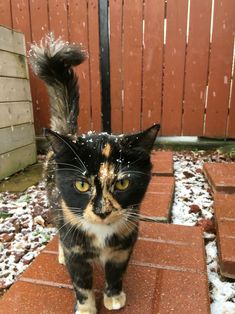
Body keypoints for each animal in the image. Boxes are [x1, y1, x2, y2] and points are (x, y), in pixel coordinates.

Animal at [29, 33, 161, 312]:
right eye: (82, 185)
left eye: (122, 184)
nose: (102, 211)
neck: (101, 235)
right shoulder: (75, 247)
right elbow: (81, 281)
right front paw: (86, 307)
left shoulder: (124, 244)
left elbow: (116, 273)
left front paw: (114, 297)